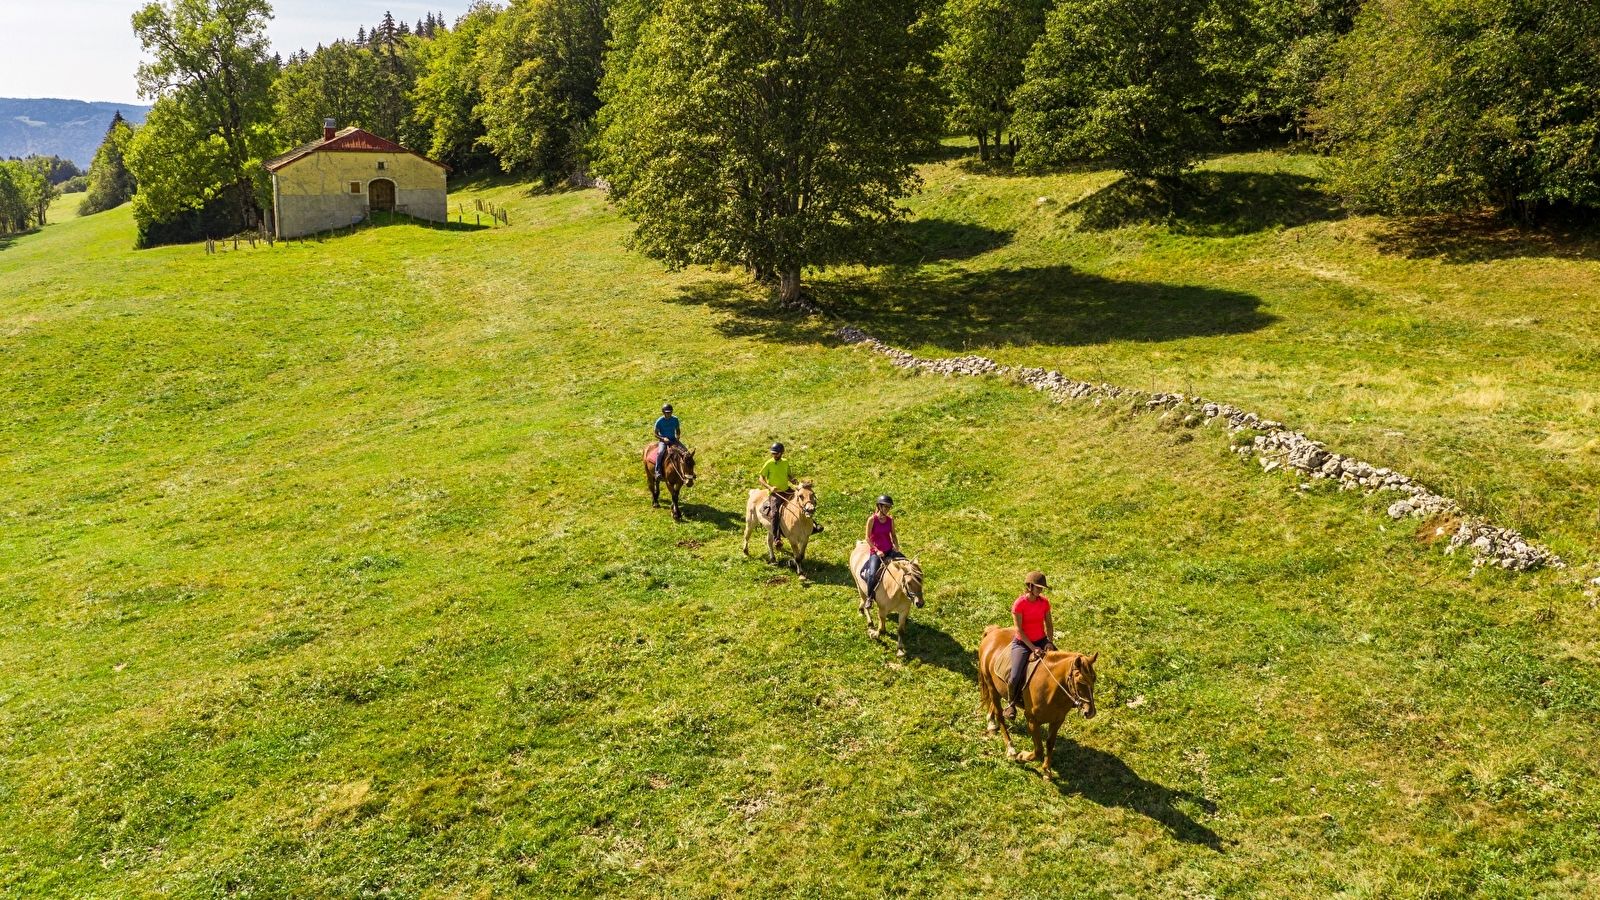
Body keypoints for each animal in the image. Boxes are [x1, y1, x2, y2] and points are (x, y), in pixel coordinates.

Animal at [972, 624, 1100, 778]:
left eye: (1094, 678)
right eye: (1080, 681)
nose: (1090, 712)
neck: (1052, 687)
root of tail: (993, 632)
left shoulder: (1058, 720)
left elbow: (1050, 743)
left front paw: (1047, 771)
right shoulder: (1032, 720)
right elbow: (1038, 749)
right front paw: (1021, 757)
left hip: (996, 688)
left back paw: (991, 723)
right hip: (991, 685)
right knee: (1000, 715)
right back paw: (1010, 749)